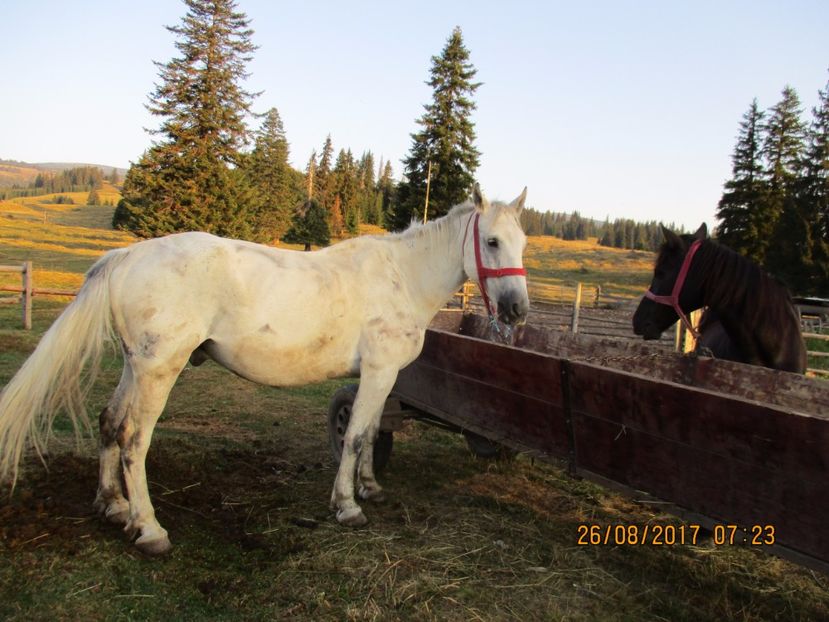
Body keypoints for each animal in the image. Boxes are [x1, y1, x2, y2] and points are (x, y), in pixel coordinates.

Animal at [0, 184, 532, 556]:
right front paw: (347, 506)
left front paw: (370, 487)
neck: (401, 276)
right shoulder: (379, 371)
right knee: (134, 439)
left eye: (523, 243)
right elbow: (356, 436)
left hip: (136, 367)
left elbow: (371, 432)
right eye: (491, 242)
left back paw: (112, 505)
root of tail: (129, 254)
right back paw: (149, 529)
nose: (516, 310)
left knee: (110, 423)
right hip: (158, 371)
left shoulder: (382, 378)